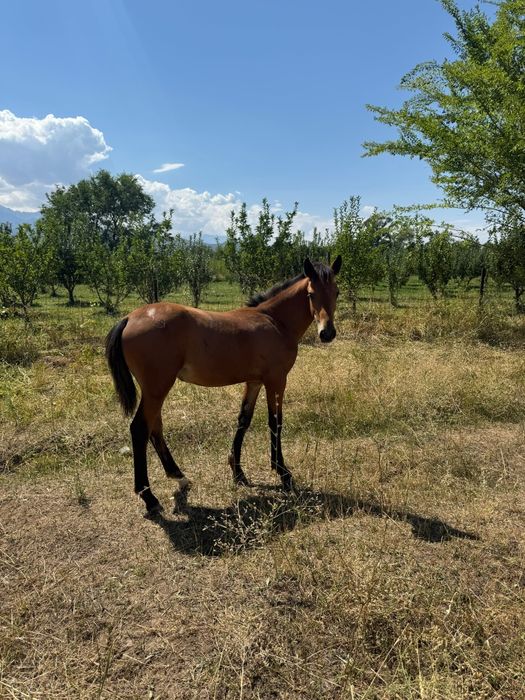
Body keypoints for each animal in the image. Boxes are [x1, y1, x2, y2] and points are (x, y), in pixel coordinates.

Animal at [105, 256, 342, 516]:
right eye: (311, 294)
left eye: (337, 292)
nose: (327, 333)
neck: (275, 320)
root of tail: (129, 318)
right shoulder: (276, 380)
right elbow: (275, 422)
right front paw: (283, 474)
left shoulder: (254, 381)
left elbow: (243, 420)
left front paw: (238, 473)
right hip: (157, 389)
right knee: (140, 429)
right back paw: (149, 497)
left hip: (154, 391)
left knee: (154, 428)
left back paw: (178, 476)